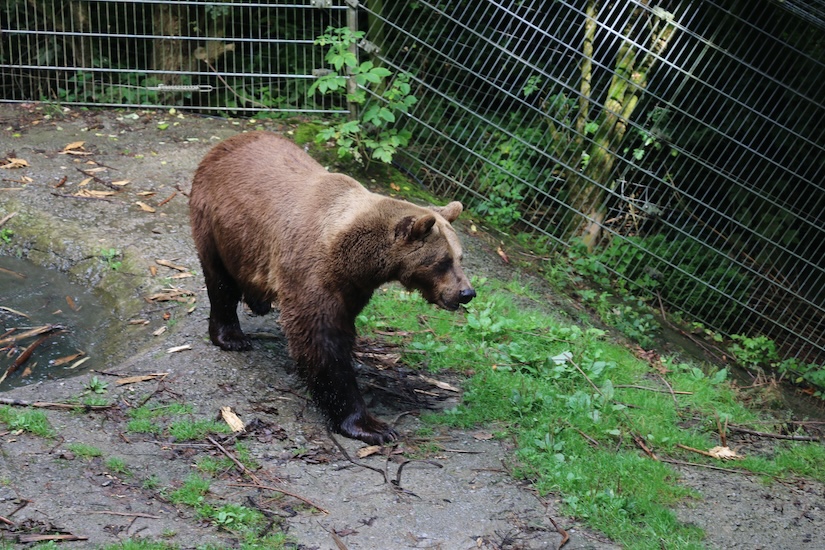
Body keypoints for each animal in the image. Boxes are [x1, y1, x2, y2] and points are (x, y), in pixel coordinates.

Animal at [186, 132, 470, 446]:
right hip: (217, 222)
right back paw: (232, 336)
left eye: (459, 257)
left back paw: (259, 303)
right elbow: (322, 341)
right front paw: (371, 425)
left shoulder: (353, 286)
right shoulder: (313, 273)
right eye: (442, 262)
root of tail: (225, 143)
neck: (355, 254)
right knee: (220, 280)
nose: (466, 293)